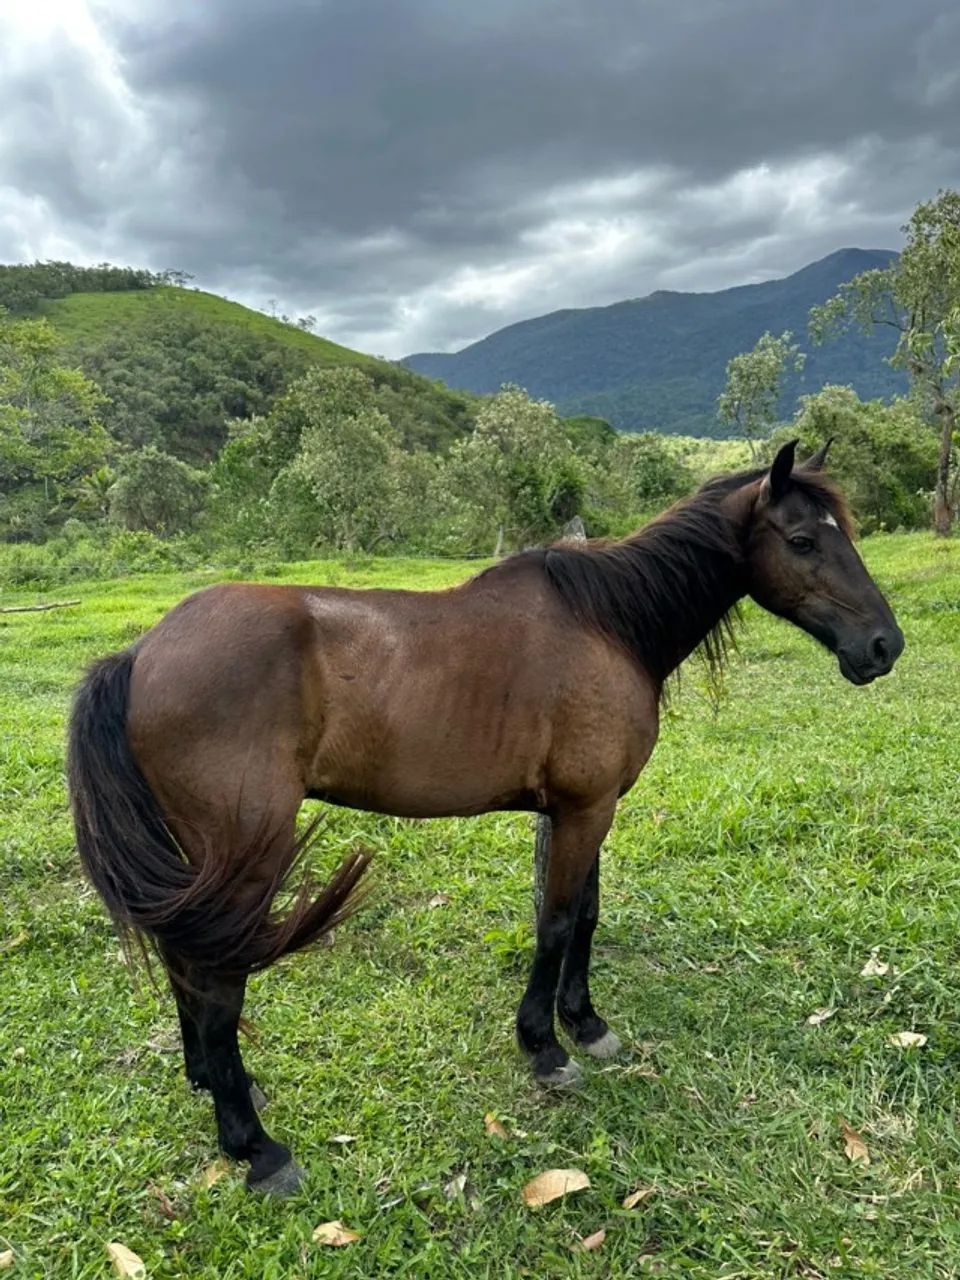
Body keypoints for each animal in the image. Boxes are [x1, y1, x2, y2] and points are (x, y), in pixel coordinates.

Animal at [67, 439, 904, 1195]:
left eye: (844, 534)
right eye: (802, 541)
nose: (883, 646)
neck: (607, 624)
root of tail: (139, 654)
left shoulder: (584, 808)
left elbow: (584, 916)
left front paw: (585, 1024)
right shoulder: (583, 810)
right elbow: (557, 923)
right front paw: (545, 1047)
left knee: (188, 964)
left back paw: (212, 1083)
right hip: (245, 856)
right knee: (216, 982)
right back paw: (256, 1147)